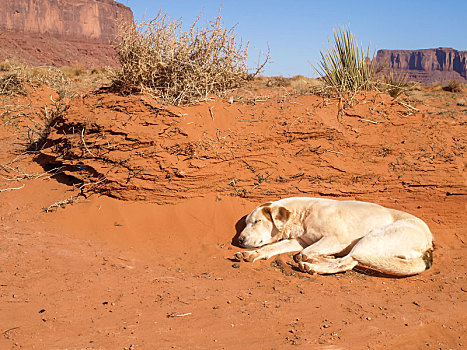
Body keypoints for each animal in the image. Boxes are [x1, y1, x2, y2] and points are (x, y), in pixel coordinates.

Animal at [236, 197, 434, 276]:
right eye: (246, 223)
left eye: (257, 221)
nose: (239, 240)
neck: (303, 215)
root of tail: (429, 242)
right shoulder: (299, 241)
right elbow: (272, 247)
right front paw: (252, 254)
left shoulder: (336, 239)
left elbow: (305, 253)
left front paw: (315, 259)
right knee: (348, 262)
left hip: (372, 238)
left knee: (347, 262)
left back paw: (314, 266)